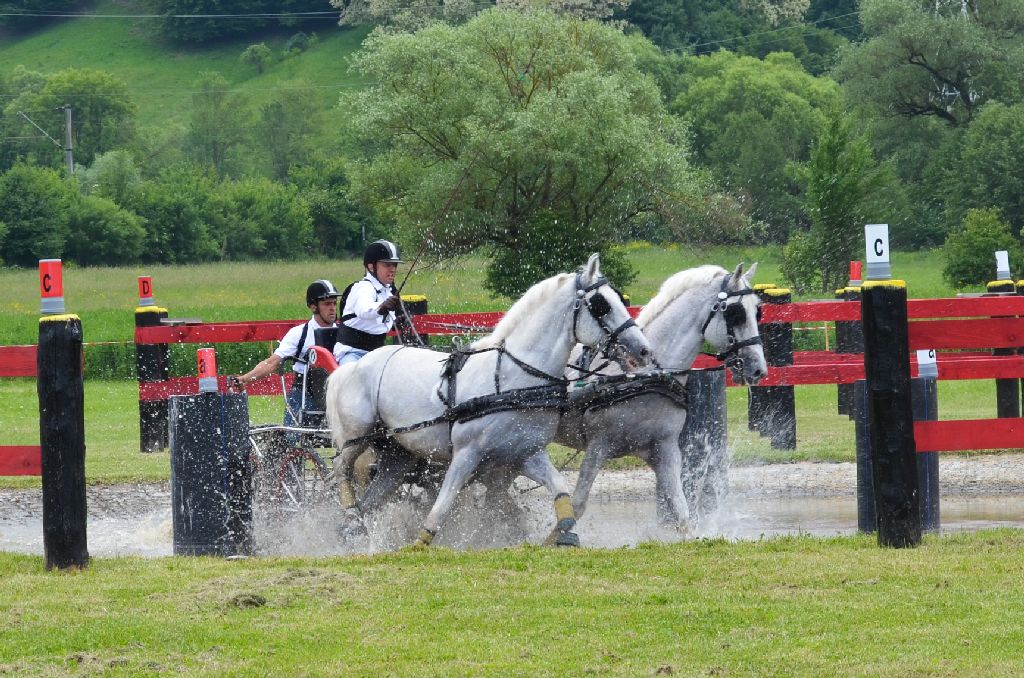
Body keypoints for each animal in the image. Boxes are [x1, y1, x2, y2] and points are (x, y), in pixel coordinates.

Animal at [323, 253, 651, 548]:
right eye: (602, 304)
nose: (644, 350)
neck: (513, 379)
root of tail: (350, 368)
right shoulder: (466, 453)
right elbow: (442, 506)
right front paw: (418, 545)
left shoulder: (526, 453)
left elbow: (562, 495)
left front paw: (563, 537)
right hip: (357, 437)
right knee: (341, 469)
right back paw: (350, 517)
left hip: (397, 455)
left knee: (375, 495)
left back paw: (353, 529)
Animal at [557, 262, 765, 532]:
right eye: (736, 313)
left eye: (757, 311)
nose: (759, 369)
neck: (644, 374)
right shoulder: (598, 445)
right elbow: (577, 504)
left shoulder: (665, 449)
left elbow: (682, 510)